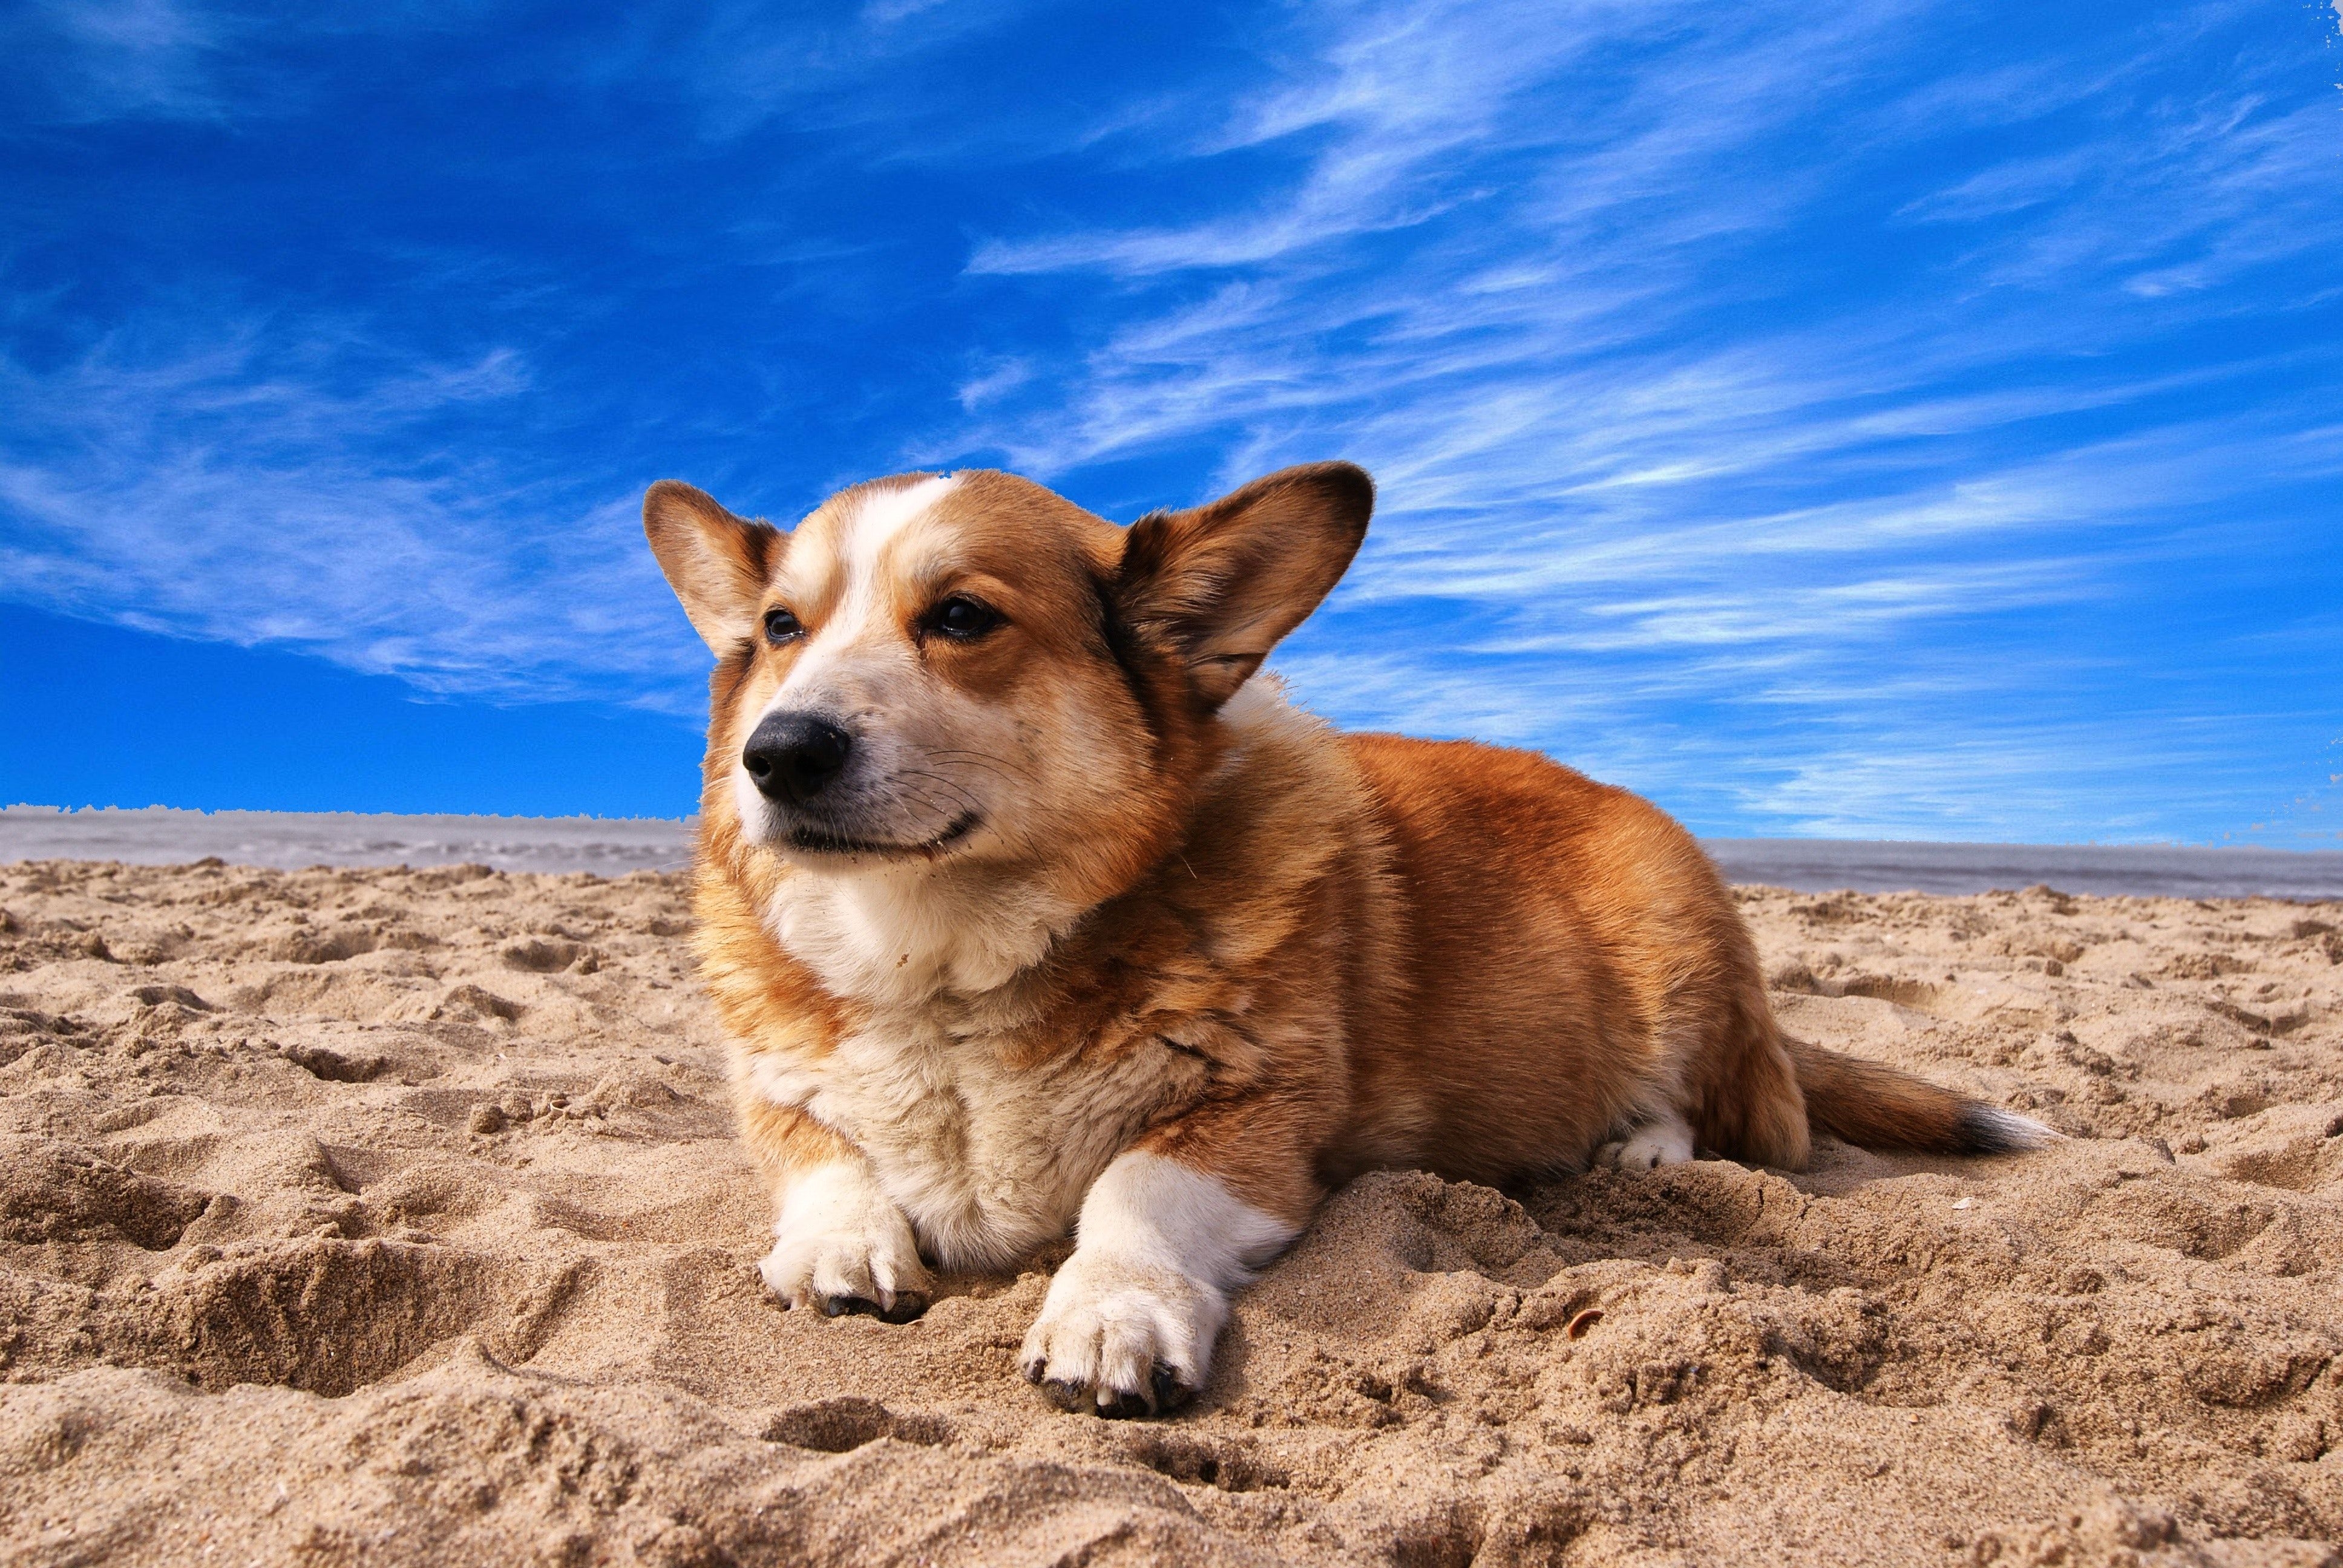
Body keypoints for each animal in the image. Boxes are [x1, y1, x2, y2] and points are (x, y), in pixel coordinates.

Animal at [641, 462, 2052, 1416]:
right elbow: (824, 1157)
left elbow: (1131, 1188)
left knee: (1706, 1102)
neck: (939, 958)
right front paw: (840, 1243)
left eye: (962, 618)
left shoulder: (1257, 1122)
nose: (777, 756)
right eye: (780, 630)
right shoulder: (774, 1086)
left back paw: (1643, 1152)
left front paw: (1109, 1314)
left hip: (1673, 947)